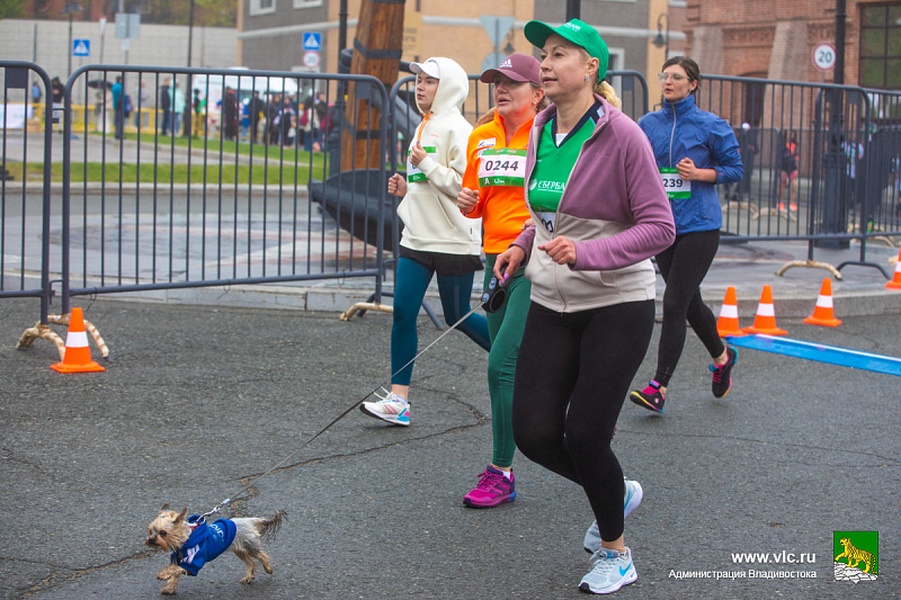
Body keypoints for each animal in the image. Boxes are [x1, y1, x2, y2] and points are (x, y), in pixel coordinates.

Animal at [145, 502, 284, 596]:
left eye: (163, 533)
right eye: (150, 531)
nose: (151, 540)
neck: (183, 541)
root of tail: (250, 520)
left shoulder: (193, 560)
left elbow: (175, 569)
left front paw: (163, 575)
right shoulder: (177, 560)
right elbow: (174, 573)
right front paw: (169, 588)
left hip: (249, 545)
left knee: (261, 555)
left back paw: (268, 568)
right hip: (239, 549)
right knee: (250, 562)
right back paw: (248, 577)